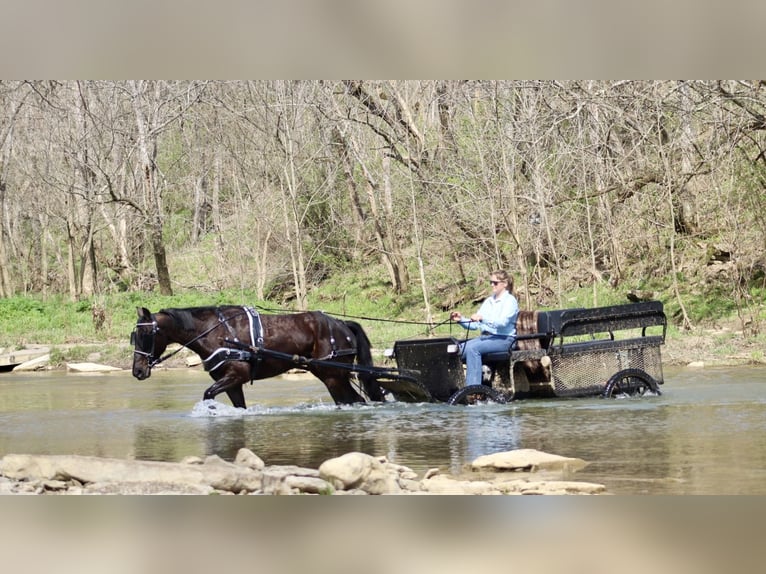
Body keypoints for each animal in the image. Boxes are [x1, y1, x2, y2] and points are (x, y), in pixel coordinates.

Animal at [130, 305, 385, 408]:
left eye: (146, 334)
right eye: (135, 336)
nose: (138, 371)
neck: (216, 333)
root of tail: (341, 324)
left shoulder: (236, 376)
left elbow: (208, 395)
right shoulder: (232, 383)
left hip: (333, 376)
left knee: (354, 400)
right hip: (333, 376)